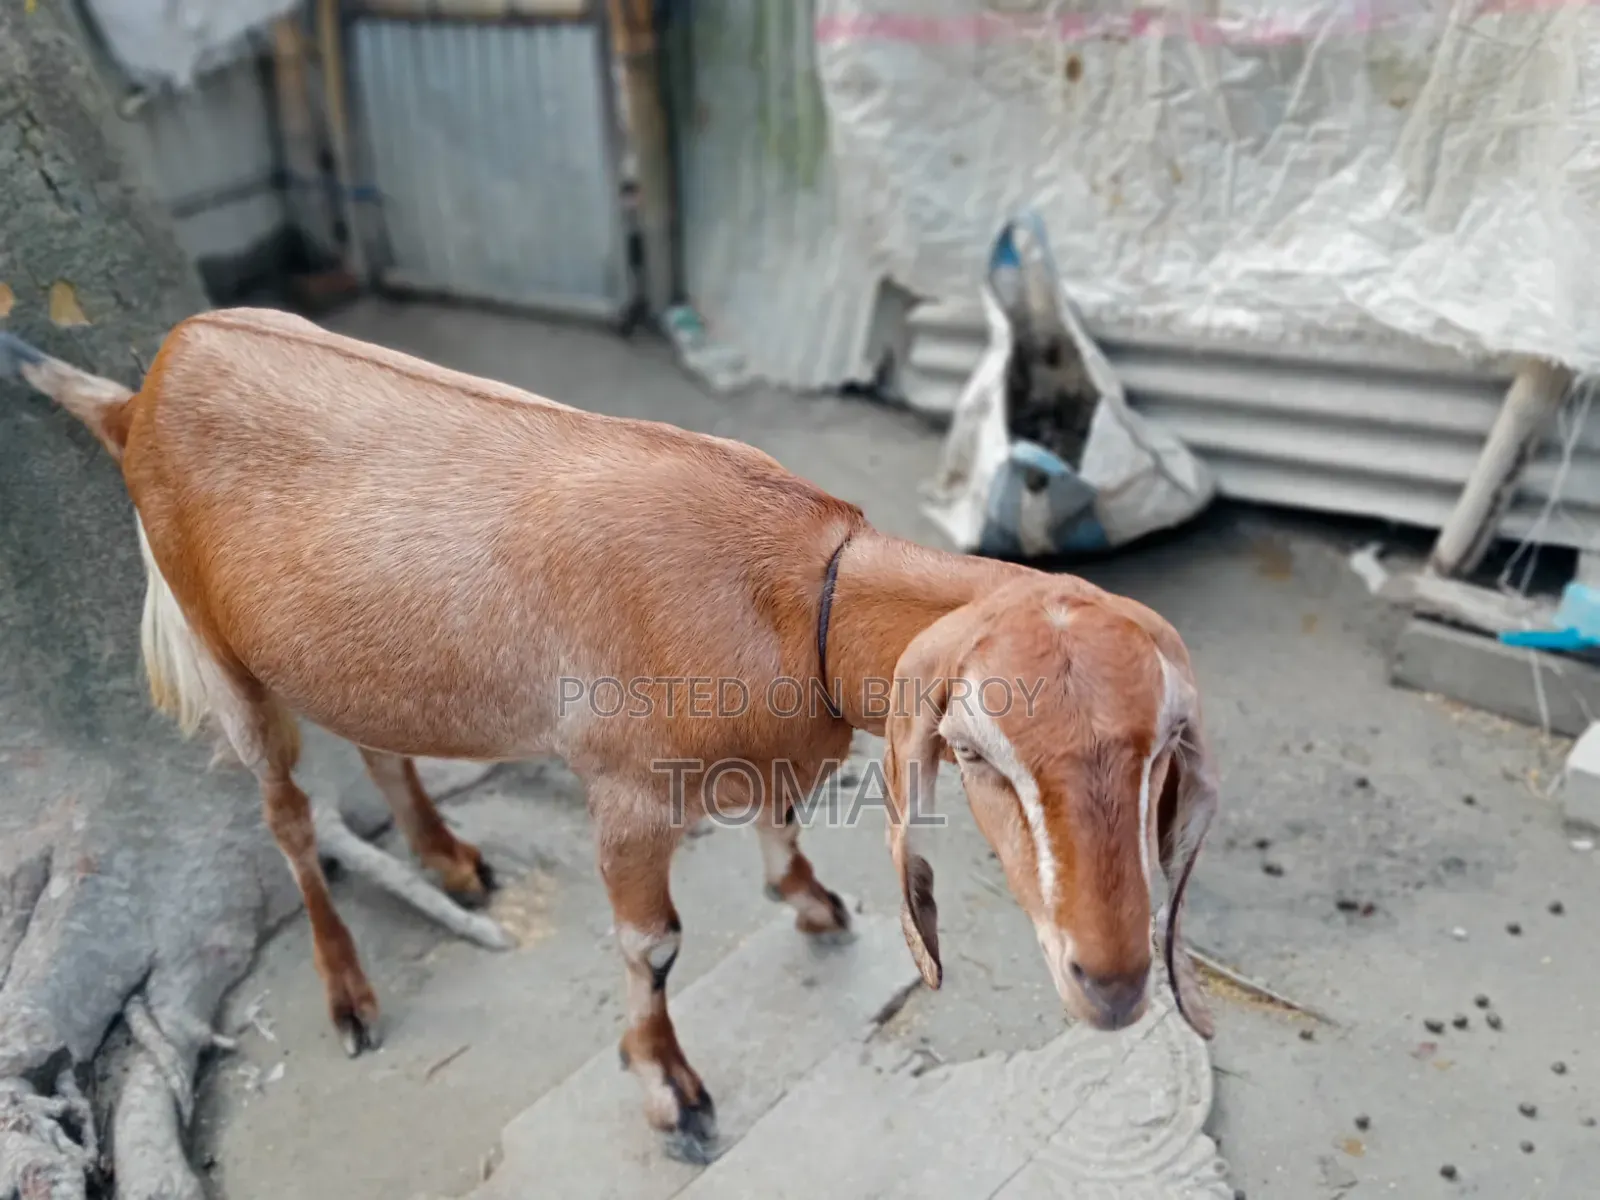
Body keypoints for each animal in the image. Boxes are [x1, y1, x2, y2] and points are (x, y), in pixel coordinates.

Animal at [3, 310, 1218, 1162]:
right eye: (974, 753)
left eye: (1163, 751)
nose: (1112, 983)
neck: (797, 596)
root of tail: (144, 390)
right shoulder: (625, 795)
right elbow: (654, 945)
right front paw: (669, 1092)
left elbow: (779, 821)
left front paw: (807, 899)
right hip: (223, 655)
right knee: (286, 817)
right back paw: (348, 993)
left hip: (348, 652)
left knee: (379, 742)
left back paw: (447, 856)